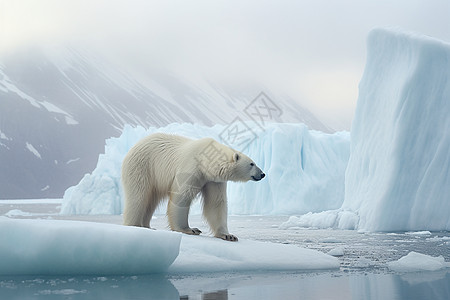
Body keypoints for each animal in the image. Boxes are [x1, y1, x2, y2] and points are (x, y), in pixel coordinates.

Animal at [121, 134, 266, 241]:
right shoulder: (191, 168)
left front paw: (228, 235)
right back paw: (135, 225)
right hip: (142, 167)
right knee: (139, 196)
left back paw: (148, 227)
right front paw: (190, 229)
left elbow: (216, 203)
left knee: (151, 201)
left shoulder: (213, 180)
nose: (263, 174)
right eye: (252, 163)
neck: (205, 161)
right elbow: (181, 197)